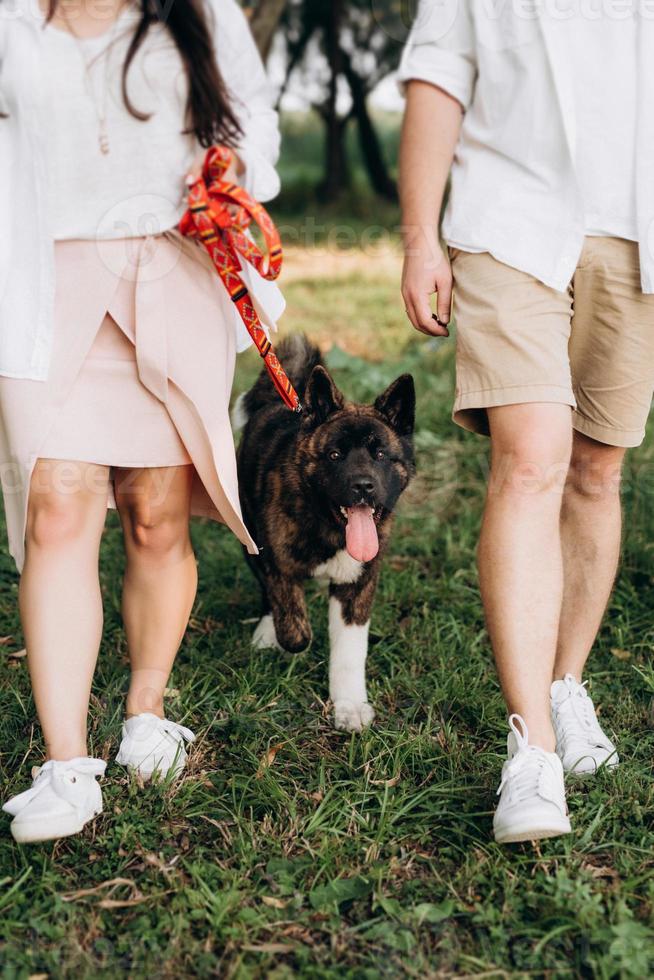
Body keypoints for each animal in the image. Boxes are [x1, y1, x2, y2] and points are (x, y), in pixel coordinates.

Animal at [233, 334, 416, 728]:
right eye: (335, 455)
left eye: (381, 455)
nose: (363, 486)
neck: (330, 527)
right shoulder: (276, 563)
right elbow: (294, 626)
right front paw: (286, 636)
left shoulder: (358, 585)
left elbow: (350, 651)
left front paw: (349, 705)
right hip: (248, 537)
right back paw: (267, 630)